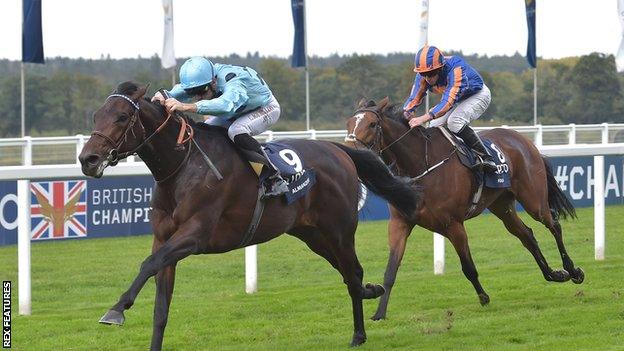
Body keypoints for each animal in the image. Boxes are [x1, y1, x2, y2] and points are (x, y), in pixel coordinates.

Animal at [75, 82, 422, 350]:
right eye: (96, 116)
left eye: (122, 117)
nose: (88, 159)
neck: (183, 166)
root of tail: (340, 150)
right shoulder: (164, 239)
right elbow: (160, 305)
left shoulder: (196, 234)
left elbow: (148, 264)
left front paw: (116, 310)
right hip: (312, 234)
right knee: (350, 273)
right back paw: (370, 296)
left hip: (339, 230)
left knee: (352, 273)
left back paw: (360, 331)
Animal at [346, 97, 584, 322]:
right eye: (349, 123)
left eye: (372, 124)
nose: (351, 154)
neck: (421, 164)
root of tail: (523, 140)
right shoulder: (400, 223)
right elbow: (390, 271)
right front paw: (379, 314)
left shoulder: (453, 225)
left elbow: (468, 267)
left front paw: (484, 298)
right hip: (502, 205)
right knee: (527, 235)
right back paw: (553, 274)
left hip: (533, 199)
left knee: (554, 225)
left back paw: (573, 270)